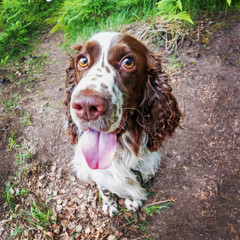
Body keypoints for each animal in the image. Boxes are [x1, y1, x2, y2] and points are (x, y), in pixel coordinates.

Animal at [64, 31, 182, 217]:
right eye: (83, 60)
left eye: (128, 62)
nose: (86, 106)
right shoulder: (99, 173)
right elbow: (105, 188)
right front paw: (109, 205)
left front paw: (133, 201)